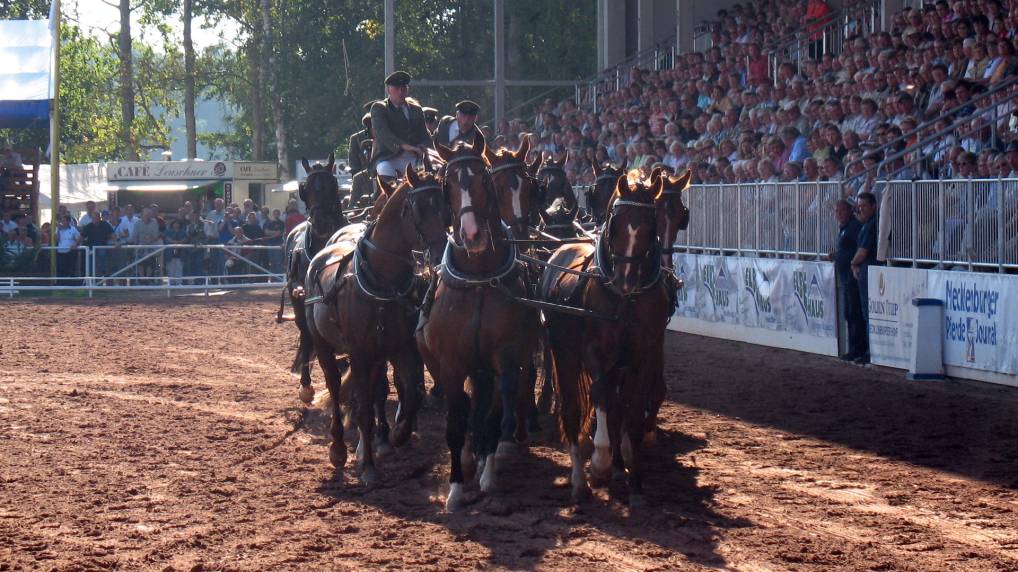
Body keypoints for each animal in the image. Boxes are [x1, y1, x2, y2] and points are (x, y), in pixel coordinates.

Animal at [301, 163, 445, 480]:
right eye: (417, 208)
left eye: (445, 203)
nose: (442, 252)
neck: (381, 281)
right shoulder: (359, 353)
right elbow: (365, 406)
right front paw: (367, 464)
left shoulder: (400, 348)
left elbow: (412, 394)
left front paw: (397, 435)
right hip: (324, 344)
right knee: (334, 384)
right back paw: (339, 447)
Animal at [415, 131, 541, 508]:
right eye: (448, 184)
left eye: (483, 180)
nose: (472, 235)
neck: (480, 280)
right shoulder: (452, 363)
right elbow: (457, 422)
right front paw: (456, 486)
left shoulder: (506, 355)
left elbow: (495, 411)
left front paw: (488, 469)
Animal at [541, 173, 667, 502]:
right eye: (617, 222)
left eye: (651, 224)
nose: (625, 279)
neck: (625, 301)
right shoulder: (595, 352)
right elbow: (602, 397)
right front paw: (600, 462)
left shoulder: (644, 355)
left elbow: (632, 412)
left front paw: (634, 479)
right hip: (563, 351)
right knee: (573, 408)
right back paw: (580, 480)